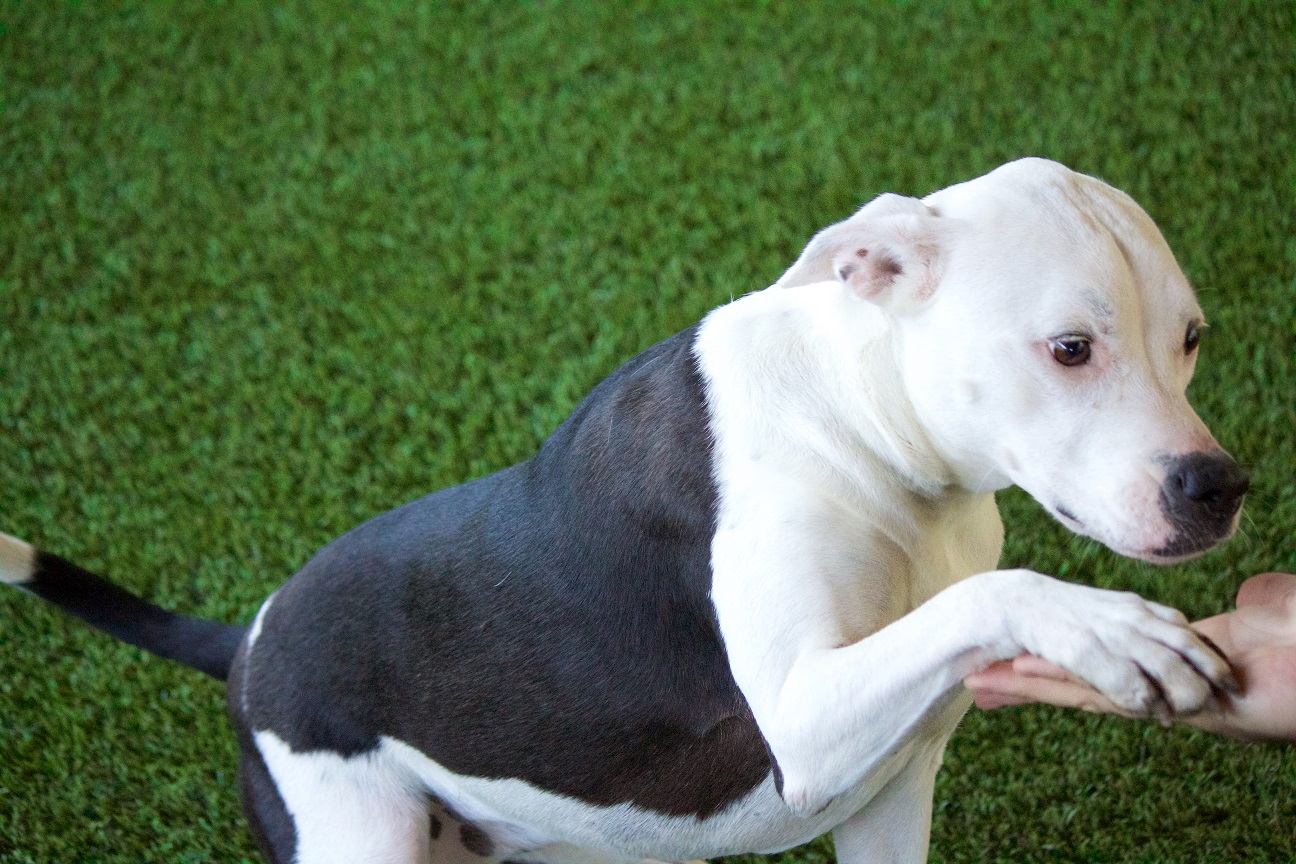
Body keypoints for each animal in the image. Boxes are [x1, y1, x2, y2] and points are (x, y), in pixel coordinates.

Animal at [5, 157, 1249, 864]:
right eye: (1070, 348)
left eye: (1192, 337)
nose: (1218, 486)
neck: (868, 425)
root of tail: (249, 641)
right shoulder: (802, 722)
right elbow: (996, 593)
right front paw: (1107, 626)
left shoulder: (890, 801)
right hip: (355, 834)